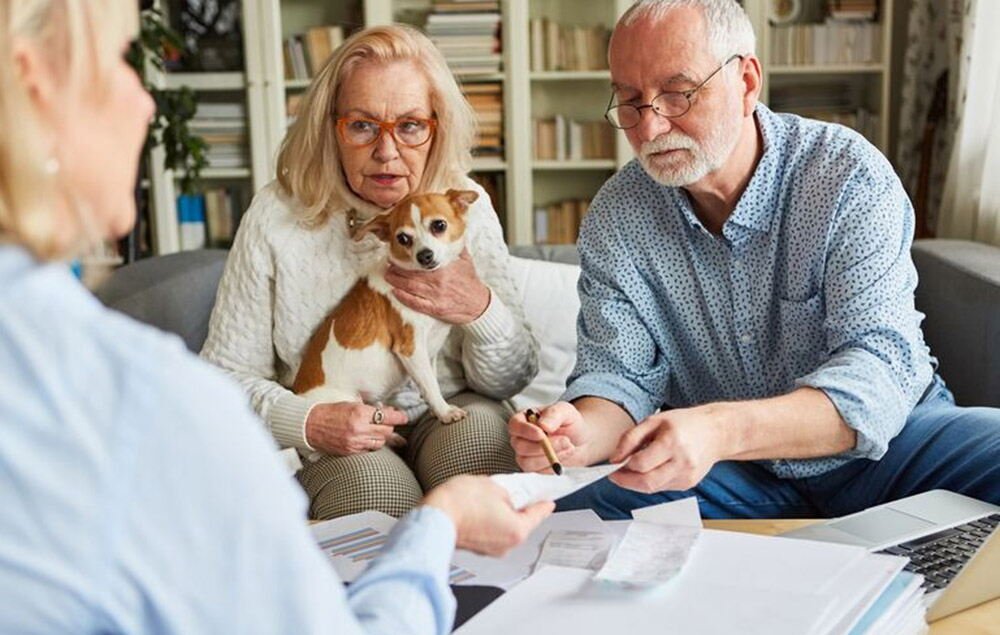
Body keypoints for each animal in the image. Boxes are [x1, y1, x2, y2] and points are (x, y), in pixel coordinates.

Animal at [290, 189, 480, 428]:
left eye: (439, 225)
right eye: (403, 238)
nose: (424, 255)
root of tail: (299, 394)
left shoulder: (429, 351)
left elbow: (431, 380)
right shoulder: (411, 349)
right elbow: (430, 385)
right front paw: (445, 411)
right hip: (348, 400)